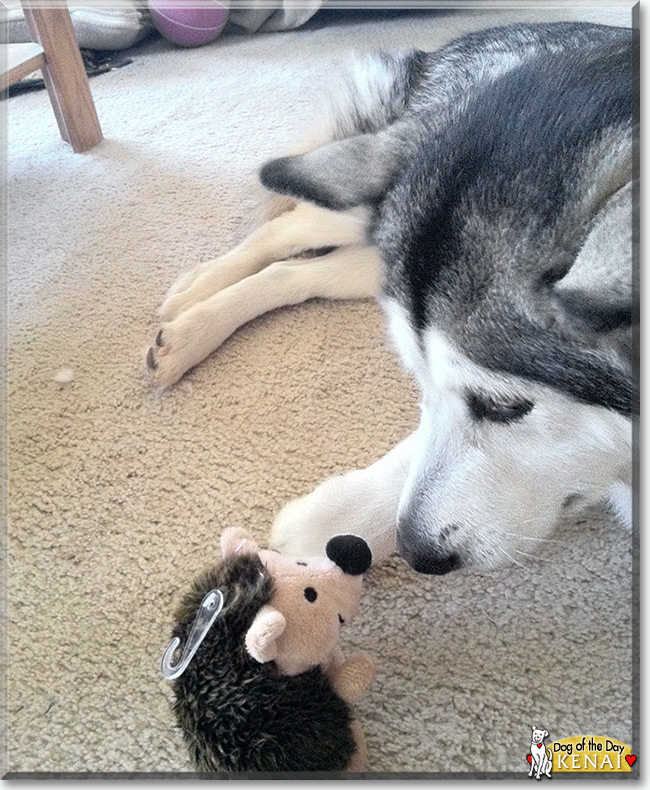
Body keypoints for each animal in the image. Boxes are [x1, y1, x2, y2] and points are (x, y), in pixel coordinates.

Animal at [147, 18, 632, 576]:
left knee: (297, 273)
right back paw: (194, 295)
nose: (418, 553)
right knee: (286, 228)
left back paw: (191, 328)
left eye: (504, 406)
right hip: (358, 187)